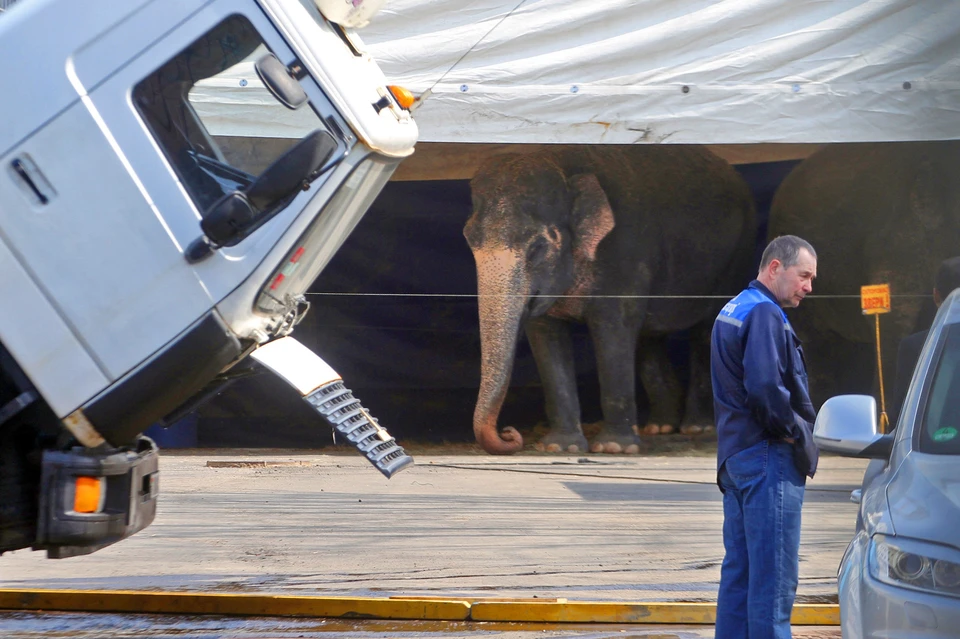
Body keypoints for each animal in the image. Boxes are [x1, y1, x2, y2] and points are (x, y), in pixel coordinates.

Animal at [464, 145, 756, 456]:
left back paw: (697, 428)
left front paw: (614, 447)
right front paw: (561, 447)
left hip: (736, 256)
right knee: (649, 337)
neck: (560, 162)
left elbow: (613, 329)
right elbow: (545, 335)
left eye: (538, 247)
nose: (509, 433)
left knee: (705, 330)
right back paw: (660, 427)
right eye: (469, 240)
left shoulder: (623, 251)